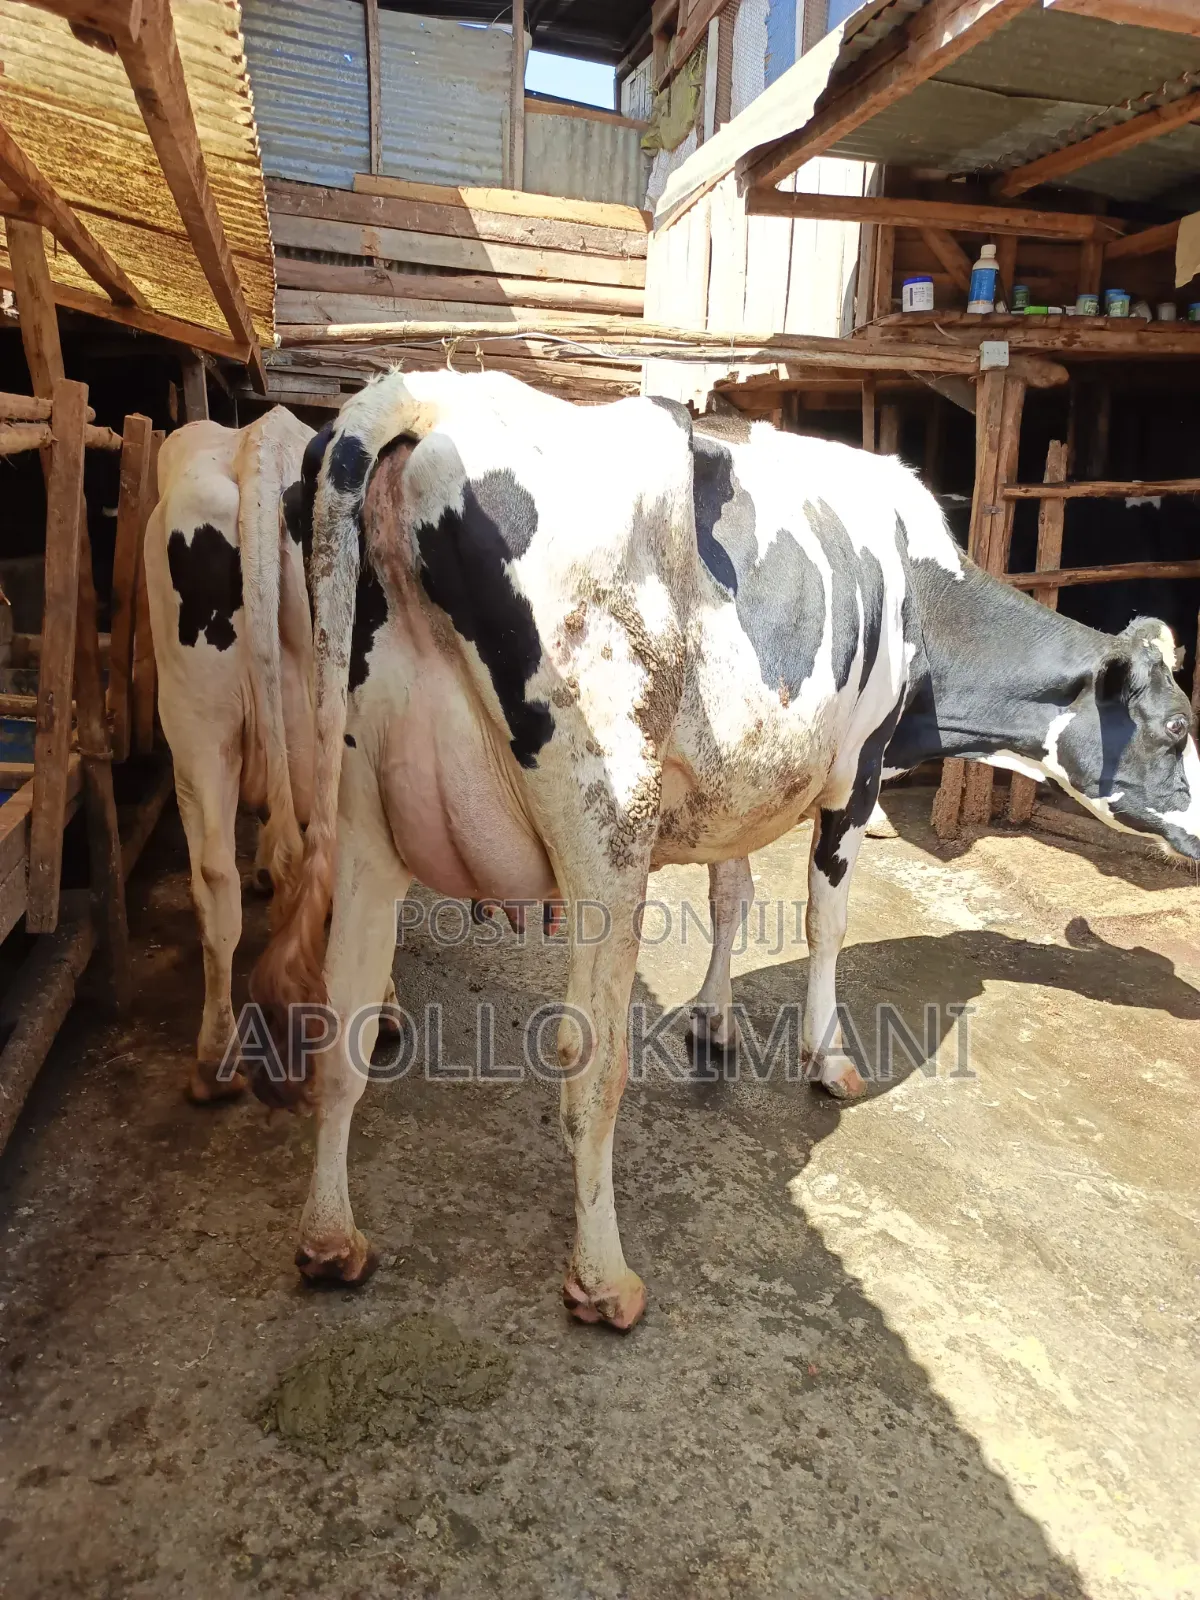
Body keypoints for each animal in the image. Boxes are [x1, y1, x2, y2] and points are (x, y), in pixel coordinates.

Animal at [249, 371, 1200, 1331]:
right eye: (1177, 727)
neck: (923, 598)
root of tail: (424, 395)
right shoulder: (856, 768)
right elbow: (825, 921)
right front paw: (826, 1058)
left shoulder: (732, 784)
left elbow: (732, 892)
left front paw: (713, 1019)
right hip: (605, 825)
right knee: (589, 1060)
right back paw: (603, 1279)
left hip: (365, 818)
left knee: (346, 1026)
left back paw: (329, 1240)